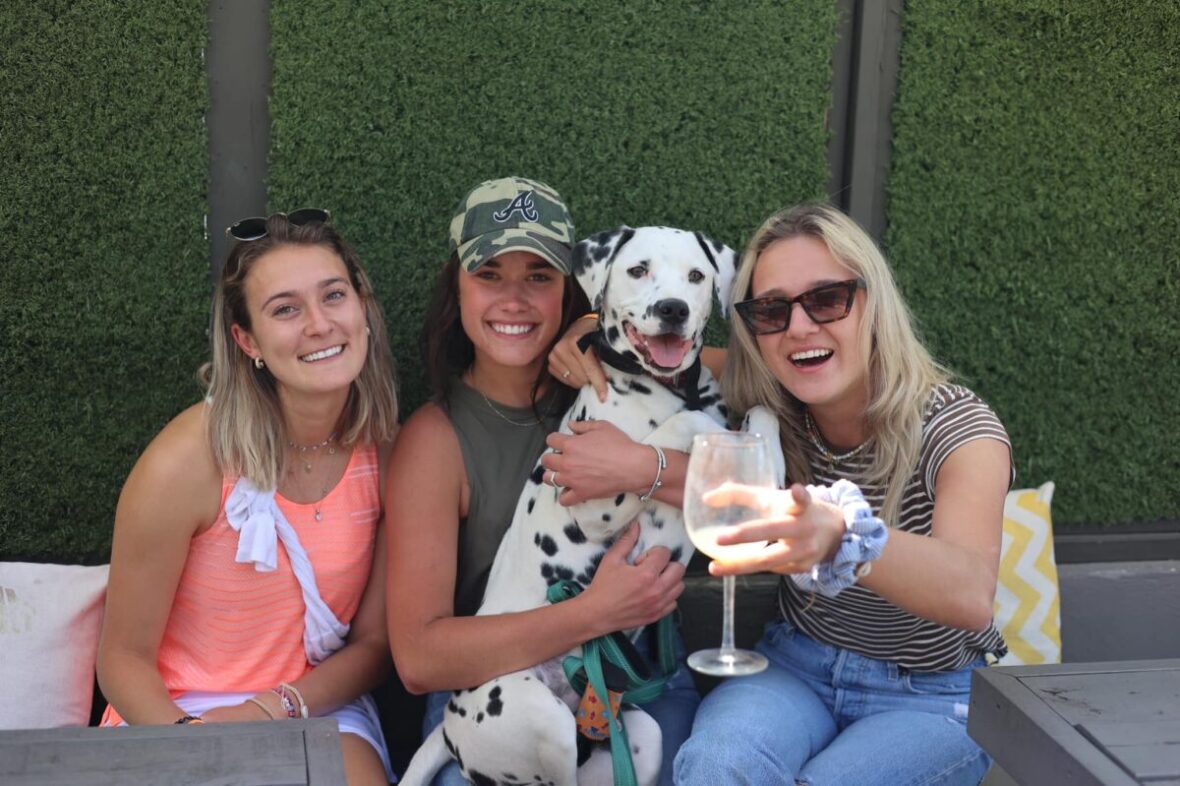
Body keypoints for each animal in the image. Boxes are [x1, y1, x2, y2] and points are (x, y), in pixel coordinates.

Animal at [401, 223, 769, 778]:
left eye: (696, 276)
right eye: (638, 269)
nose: (673, 309)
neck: (668, 388)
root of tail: (446, 732)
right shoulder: (596, 500)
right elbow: (684, 428)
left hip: (641, 736)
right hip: (538, 718)